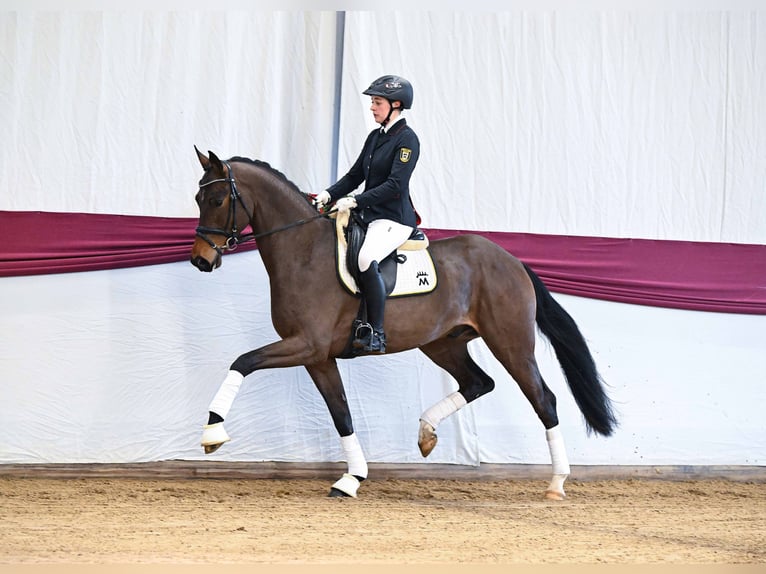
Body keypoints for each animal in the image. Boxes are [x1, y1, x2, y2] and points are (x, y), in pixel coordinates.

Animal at [190, 147, 617, 500]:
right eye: (197, 199)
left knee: (543, 399)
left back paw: (557, 483)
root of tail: (513, 261)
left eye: (217, 199)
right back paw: (426, 433)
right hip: (443, 342)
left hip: (510, 342)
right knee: (478, 382)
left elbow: (242, 362)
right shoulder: (318, 356)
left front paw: (213, 432)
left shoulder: (307, 344)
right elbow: (341, 414)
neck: (304, 251)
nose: (200, 260)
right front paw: (351, 479)